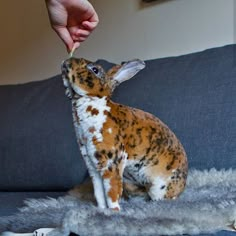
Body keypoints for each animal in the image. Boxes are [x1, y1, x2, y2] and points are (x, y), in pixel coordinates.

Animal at [61, 58, 188, 211]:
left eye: (95, 69)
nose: (66, 62)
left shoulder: (112, 163)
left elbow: (111, 192)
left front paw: (114, 211)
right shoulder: (93, 168)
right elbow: (99, 194)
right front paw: (102, 210)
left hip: (158, 187)